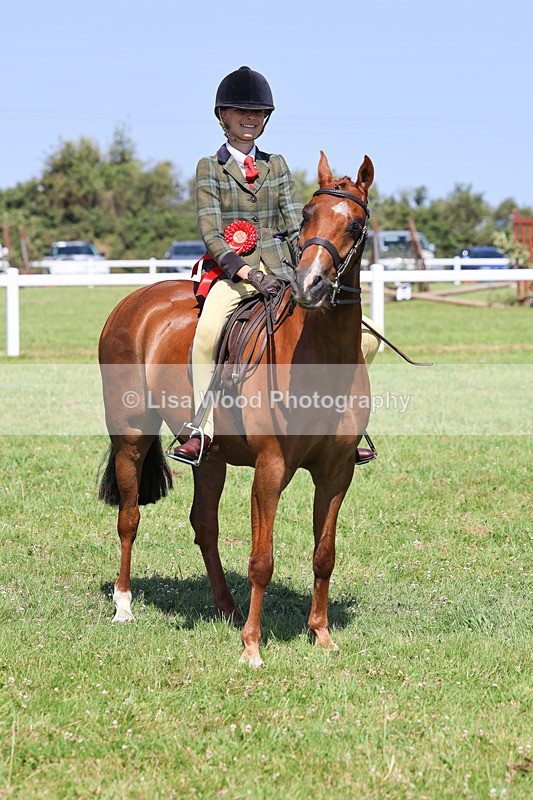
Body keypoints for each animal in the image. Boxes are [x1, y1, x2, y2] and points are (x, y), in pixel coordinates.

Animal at [98, 151, 374, 667]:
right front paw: (252, 646)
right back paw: (124, 606)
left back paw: (225, 606)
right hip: (130, 436)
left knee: (203, 523)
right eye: (308, 216)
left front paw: (322, 635)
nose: (309, 285)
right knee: (129, 518)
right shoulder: (271, 466)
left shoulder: (337, 471)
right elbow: (261, 560)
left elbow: (324, 554)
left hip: (211, 455)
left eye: (355, 224)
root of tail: (135, 299)